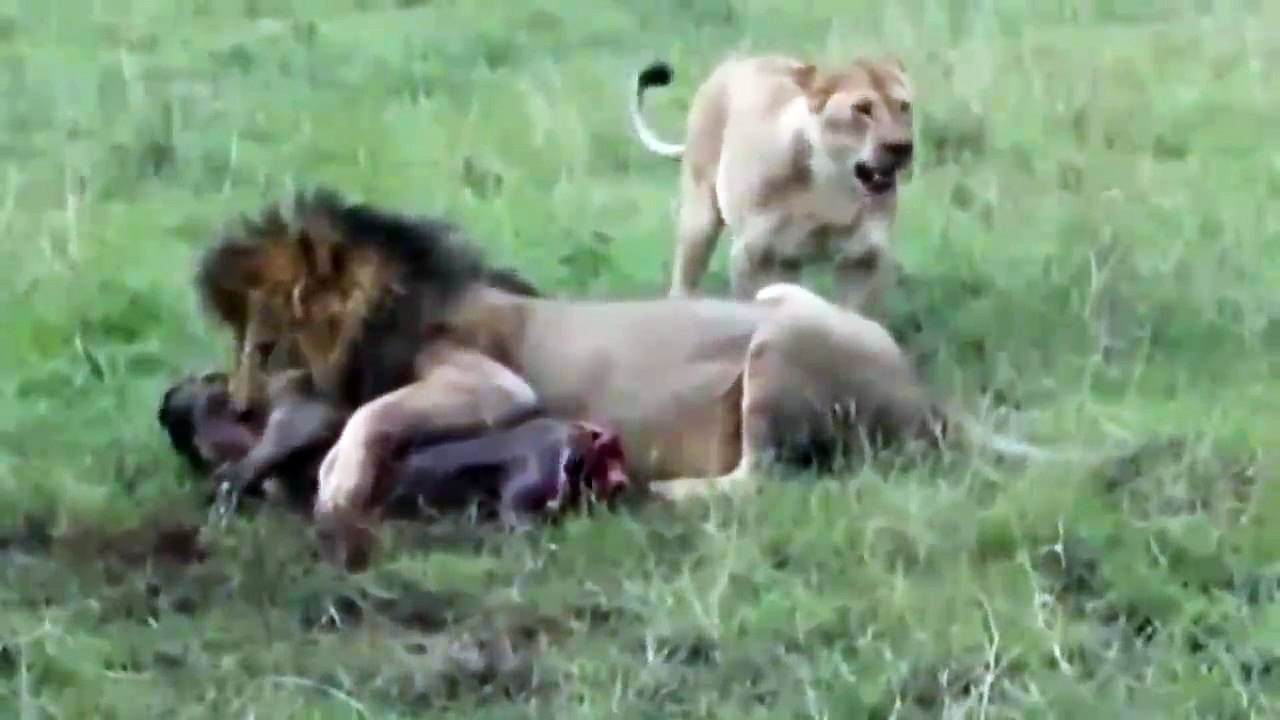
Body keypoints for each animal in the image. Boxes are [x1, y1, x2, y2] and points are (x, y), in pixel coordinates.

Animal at [196, 189, 1072, 571]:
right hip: (781, 297)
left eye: (266, 346)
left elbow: (371, 413)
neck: (399, 306)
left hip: (780, 343)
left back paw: (667, 495)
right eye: (242, 344)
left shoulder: (492, 385)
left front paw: (338, 479)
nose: (234, 401)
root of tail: (932, 400)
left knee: (761, 480)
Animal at [628, 54, 916, 315]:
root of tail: (733, 62)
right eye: (862, 108)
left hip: (788, 262)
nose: (902, 147)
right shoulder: (750, 256)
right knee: (682, 285)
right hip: (700, 220)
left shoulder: (862, 259)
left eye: (904, 106)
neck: (831, 183)